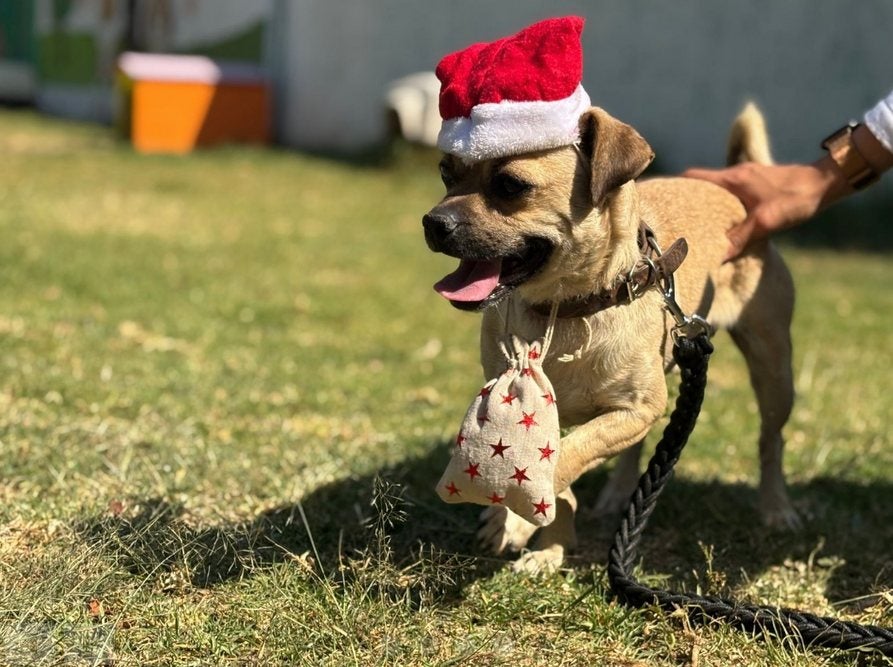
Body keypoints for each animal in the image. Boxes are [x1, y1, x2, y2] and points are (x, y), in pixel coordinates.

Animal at [422, 104, 796, 576]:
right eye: (446, 174)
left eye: (511, 186)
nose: (432, 223)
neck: (567, 307)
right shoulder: (560, 415)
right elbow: (559, 473)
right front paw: (547, 545)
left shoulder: (634, 409)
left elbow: (563, 461)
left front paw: (518, 520)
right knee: (635, 451)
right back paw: (618, 494)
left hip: (773, 370)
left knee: (772, 440)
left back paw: (776, 507)